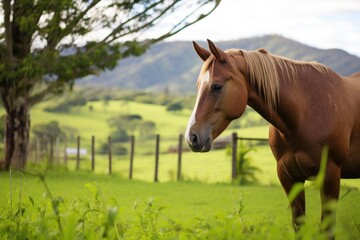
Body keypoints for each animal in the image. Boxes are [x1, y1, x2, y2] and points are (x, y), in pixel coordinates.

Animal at [186, 39, 360, 236]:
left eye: (217, 86)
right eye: (198, 86)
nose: (192, 136)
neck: (306, 112)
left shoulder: (330, 176)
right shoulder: (289, 177)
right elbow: (298, 224)